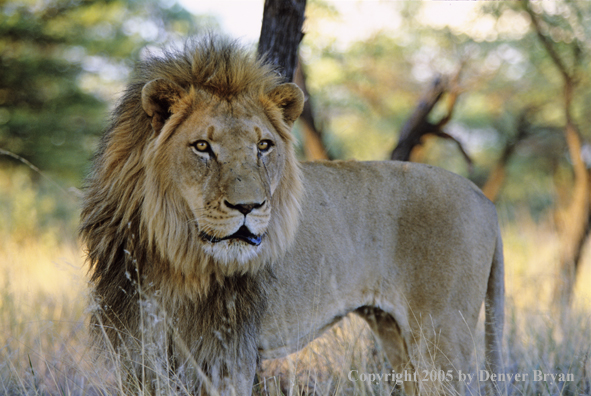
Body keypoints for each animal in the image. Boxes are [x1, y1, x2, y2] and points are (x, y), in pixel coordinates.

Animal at [80, 38, 504, 396]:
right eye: (202, 146)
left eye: (263, 145)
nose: (248, 207)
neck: (171, 255)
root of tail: (485, 199)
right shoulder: (138, 350)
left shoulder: (228, 354)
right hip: (396, 334)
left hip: (442, 333)